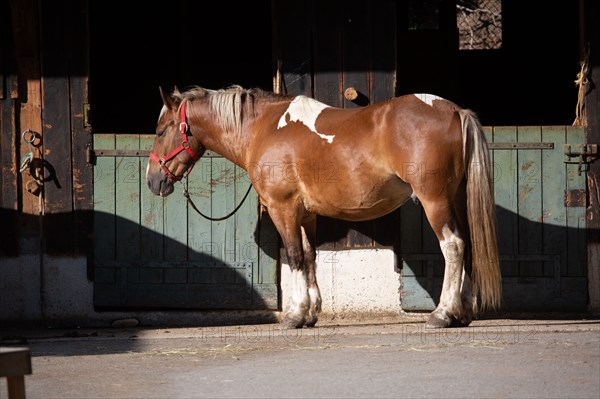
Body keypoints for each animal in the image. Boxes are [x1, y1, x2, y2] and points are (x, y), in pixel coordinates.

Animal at [146, 84, 502, 328]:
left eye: (161, 131)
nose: (153, 181)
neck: (264, 129)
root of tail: (454, 111)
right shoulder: (306, 213)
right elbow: (309, 256)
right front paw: (311, 313)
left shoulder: (283, 208)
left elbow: (293, 256)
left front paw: (294, 314)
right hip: (457, 200)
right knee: (468, 244)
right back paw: (463, 313)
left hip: (435, 201)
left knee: (453, 247)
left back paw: (443, 313)